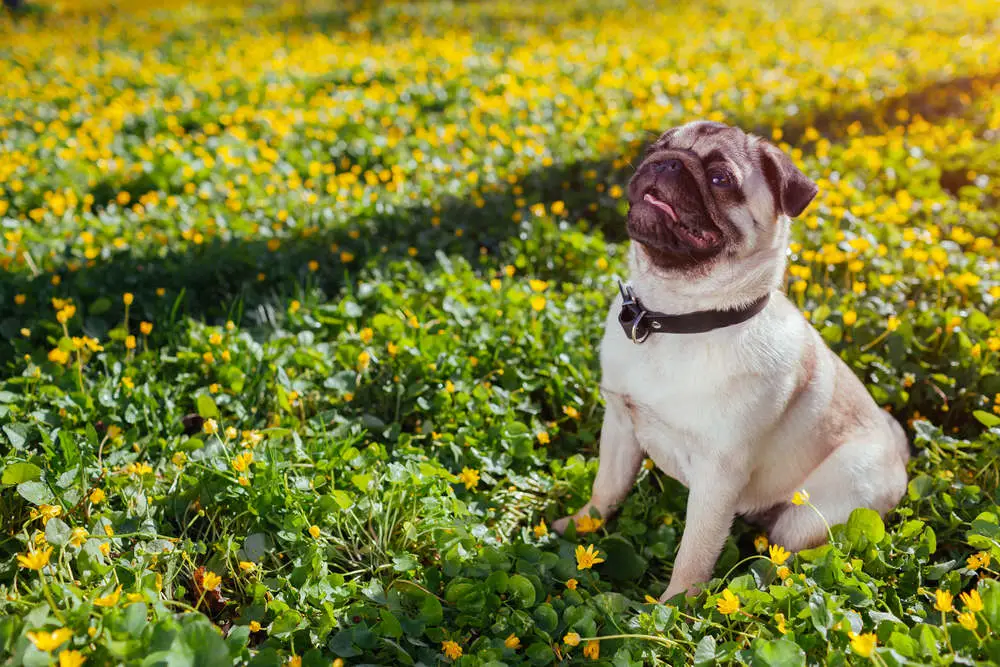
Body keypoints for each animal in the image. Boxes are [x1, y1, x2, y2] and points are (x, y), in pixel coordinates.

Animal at [552, 120, 912, 600]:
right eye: (656, 148)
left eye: (720, 178)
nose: (668, 162)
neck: (674, 318)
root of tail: (897, 455)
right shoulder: (621, 425)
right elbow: (605, 491)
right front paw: (577, 528)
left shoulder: (717, 477)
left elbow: (693, 555)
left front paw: (672, 608)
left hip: (811, 514)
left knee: (795, 558)